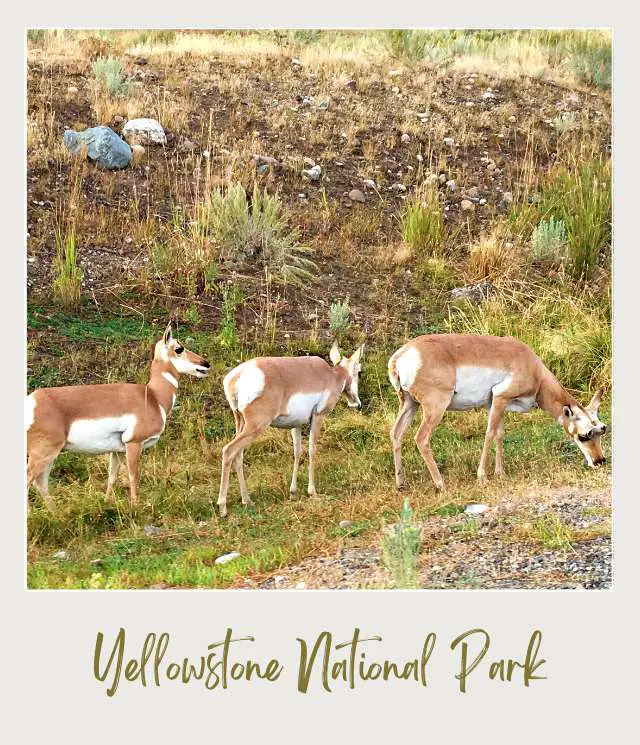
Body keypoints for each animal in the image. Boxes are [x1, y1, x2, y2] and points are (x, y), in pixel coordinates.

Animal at [25, 322, 210, 502]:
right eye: (179, 348)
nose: (206, 363)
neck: (152, 396)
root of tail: (33, 399)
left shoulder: (117, 451)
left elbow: (112, 477)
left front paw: (107, 503)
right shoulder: (134, 443)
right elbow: (133, 477)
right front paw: (135, 506)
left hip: (50, 454)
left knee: (40, 483)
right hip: (44, 452)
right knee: (30, 480)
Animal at [218, 340, 362, 516]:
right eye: (359, 372)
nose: (357, 403)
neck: (331, 375)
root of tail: (235, 378)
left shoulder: (296, 425)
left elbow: (297, 452)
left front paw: (293, 492)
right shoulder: (318, 417)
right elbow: (312, 450)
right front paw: (312, 492)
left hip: (241, 423)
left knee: (238, 455)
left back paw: (247, 500)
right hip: (255, 426)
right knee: (228, 450)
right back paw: (223, 507)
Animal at [388, 336, 608, 488]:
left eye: (602, 430)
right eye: (584, 436)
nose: (600, 461)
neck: (533, 368)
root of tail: (401, 356)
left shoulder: (494, 403)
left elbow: (500, 434)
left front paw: (500, 473)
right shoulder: (501, 397)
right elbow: (490, 433)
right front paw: (482, 476)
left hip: (410, 404)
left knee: (396, 433)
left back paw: (401, 483)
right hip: (435, 408)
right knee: (421, 438)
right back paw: (440, 483)